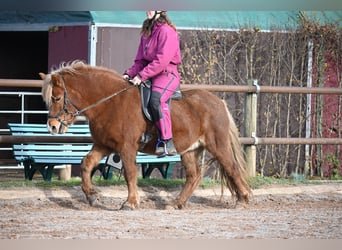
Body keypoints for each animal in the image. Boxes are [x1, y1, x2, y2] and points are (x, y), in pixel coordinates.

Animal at [39, 61, 251, 210]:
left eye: (57, 98)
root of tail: (219, 101)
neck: (110, 102)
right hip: (190, 150)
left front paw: (130, 203)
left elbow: (130, 173)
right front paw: (91, 195)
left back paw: (243, 200)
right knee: (194, 176)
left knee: (232, 168)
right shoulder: (104, 144)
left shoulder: (127, 147)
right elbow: (86, 163)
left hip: (217, 145)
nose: (52, 127)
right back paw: (177, 203)